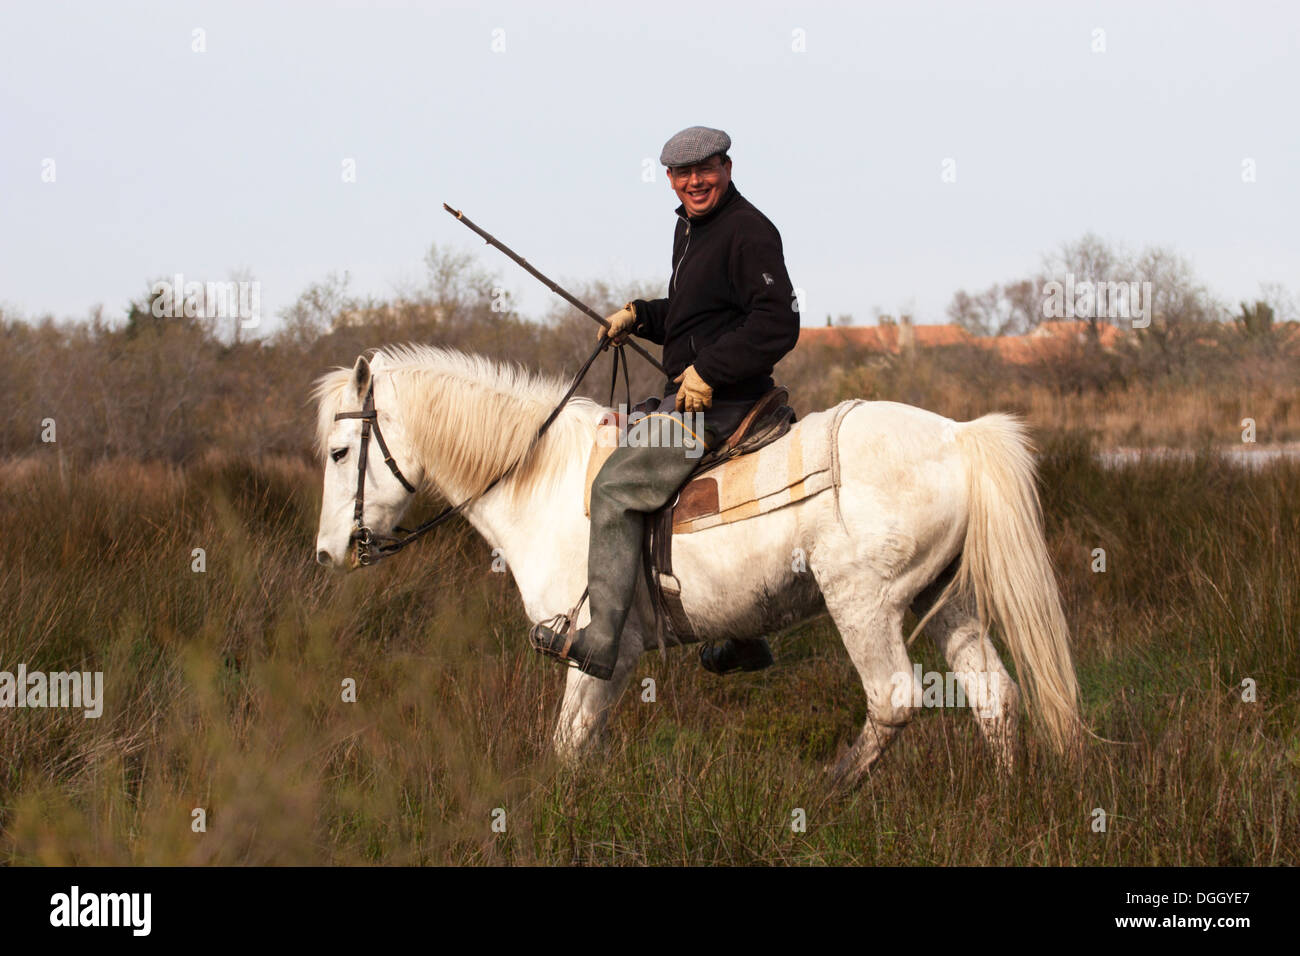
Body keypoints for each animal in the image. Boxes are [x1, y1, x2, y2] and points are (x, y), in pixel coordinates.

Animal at [309, 343, 1081, 785]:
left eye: (341, 453)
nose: (330, 553)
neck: (542, 481)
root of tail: (960, 436)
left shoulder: (600, 652)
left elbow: (566, 748)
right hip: (945, 602)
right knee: (995, 697)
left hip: (864, 603)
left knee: (893, 699)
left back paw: (831, 789)